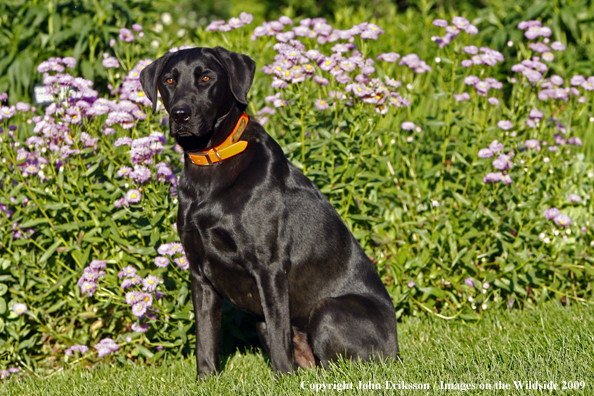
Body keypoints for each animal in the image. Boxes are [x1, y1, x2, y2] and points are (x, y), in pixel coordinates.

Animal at [139, 45, 398, 378]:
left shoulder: (270, 267)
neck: (211, 164)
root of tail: (397, 351)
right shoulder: (199, 272)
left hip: (327, 310)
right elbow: (205, 337)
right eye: (169, 80)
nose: (180, 114)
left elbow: (278, 334)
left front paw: (282, 379)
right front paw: (206, 380)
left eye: (206, 78)